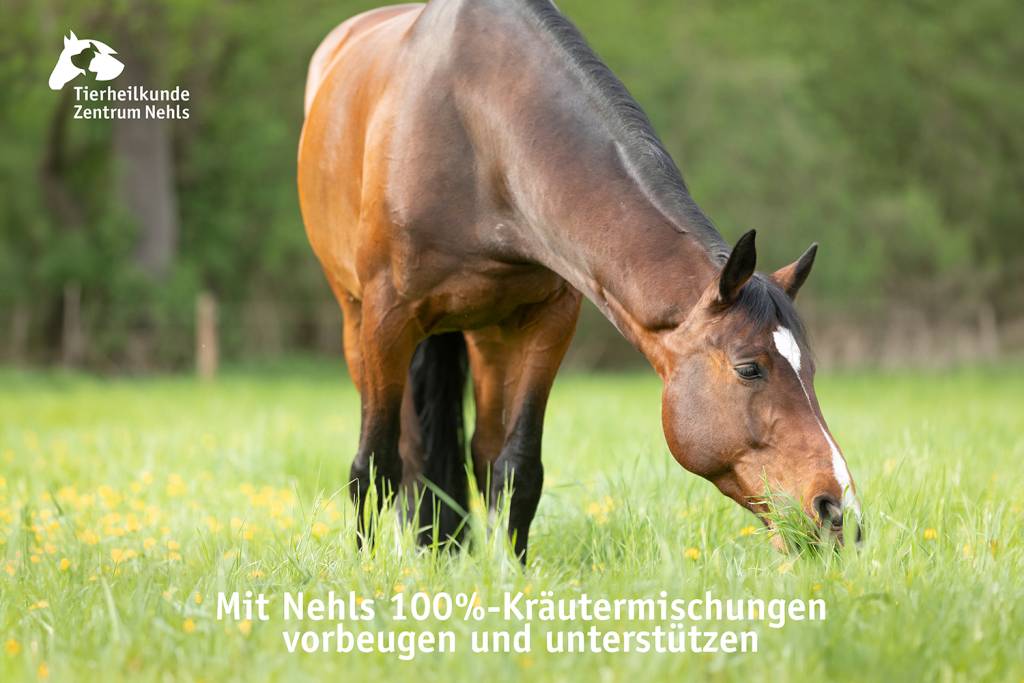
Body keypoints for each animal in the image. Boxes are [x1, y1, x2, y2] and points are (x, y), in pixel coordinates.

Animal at [298, 0, 861, 560]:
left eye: (810, 368)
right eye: (749, 369)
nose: (837, 513)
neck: (477, 136)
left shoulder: (547, 322)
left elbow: (519, 467)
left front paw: (509, 571)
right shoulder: (387, 320)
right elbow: (374, 463)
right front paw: (370, 571)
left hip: (487, 334)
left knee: (481, 452)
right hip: (360, 325)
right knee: (406, 453)